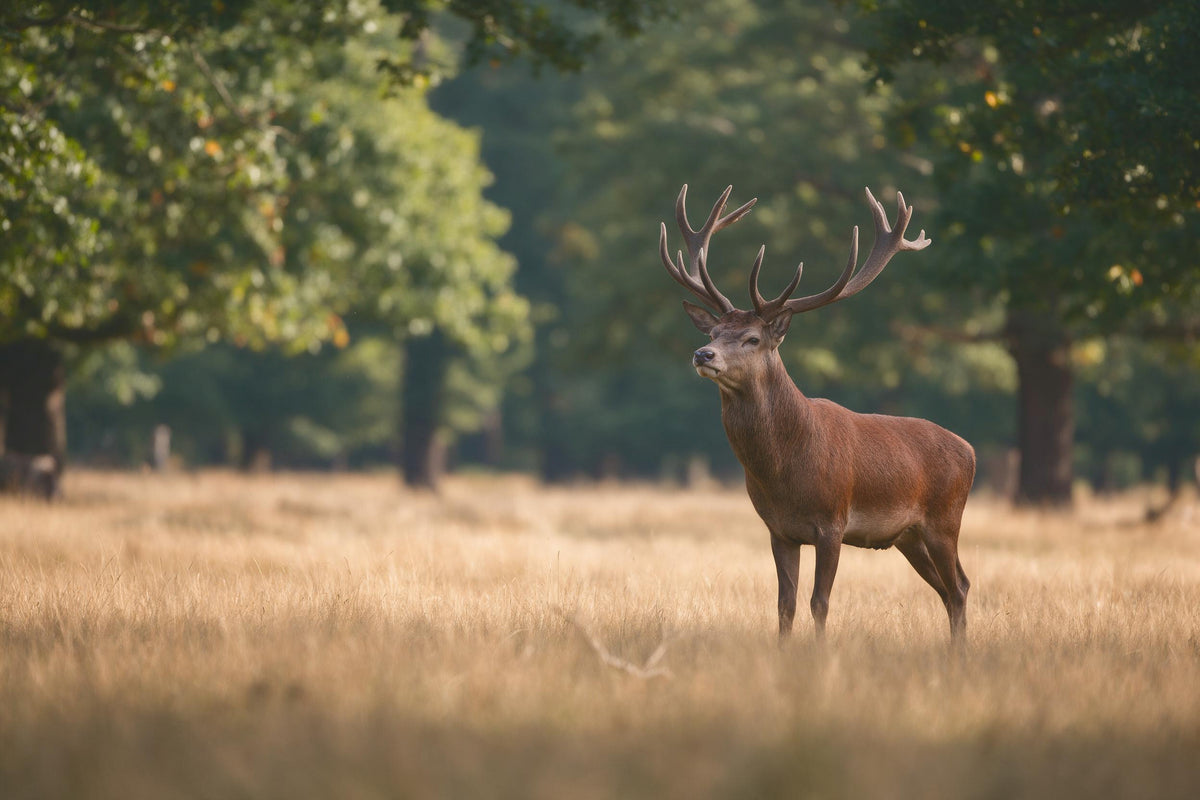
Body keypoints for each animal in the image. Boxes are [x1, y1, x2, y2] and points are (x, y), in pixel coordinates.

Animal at [658, 184, 975, 643]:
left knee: (959, 587)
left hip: (945, 520)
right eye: (715, 332)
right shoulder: (779, 530)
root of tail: (970, 450)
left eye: (752, 338)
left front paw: (820, 654)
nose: (703, 354)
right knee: (953, 589)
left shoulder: (832, 522)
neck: (784, 473)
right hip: (909, 537)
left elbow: (819, 602)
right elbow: (785, 604)